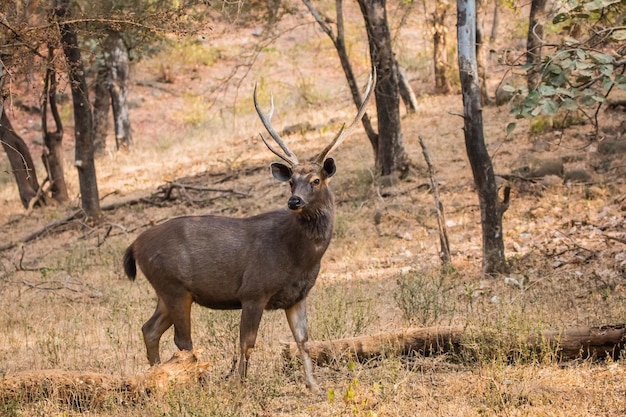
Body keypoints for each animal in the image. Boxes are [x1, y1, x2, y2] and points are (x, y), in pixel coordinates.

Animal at [122, 72, 376, 390]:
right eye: (291, 181)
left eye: (315, 180)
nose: (294, 201)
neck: (299, 256)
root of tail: (135, 245)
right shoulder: (254, 290)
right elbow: (247, 342)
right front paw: (240, 385)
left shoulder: (298, 296)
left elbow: (303, 341)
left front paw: (314, 386)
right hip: (173, 285)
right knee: (183, 341)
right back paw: (195, 383)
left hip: (166, 291)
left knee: (150, 328)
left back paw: (157, 379)